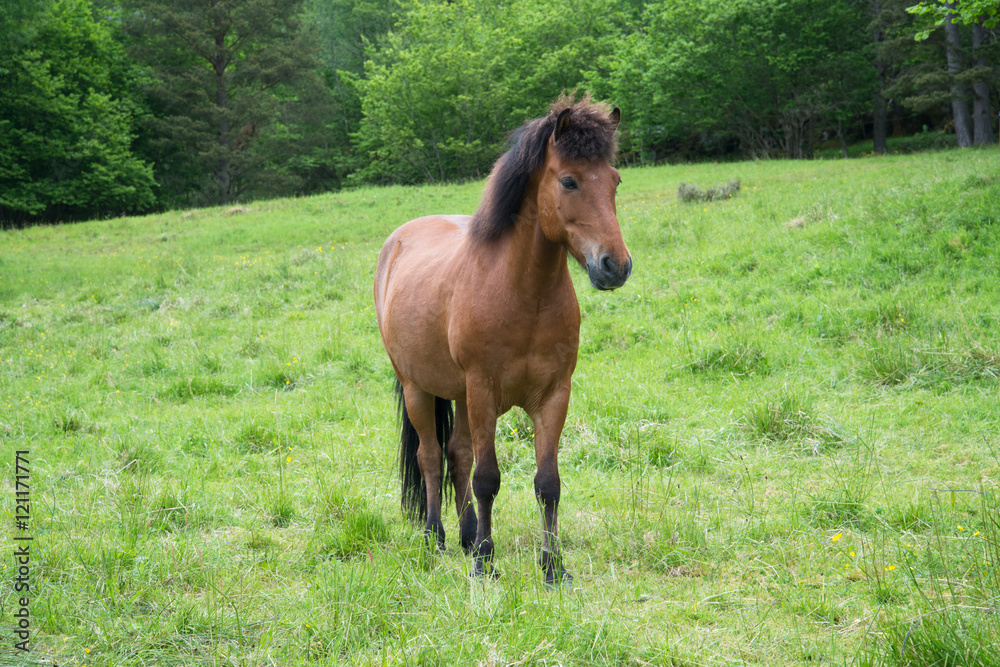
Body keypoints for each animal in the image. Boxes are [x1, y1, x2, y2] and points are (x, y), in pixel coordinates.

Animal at [373, 95, 631, 587]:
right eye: (569, 180)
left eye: (614, 180)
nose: (616, 266)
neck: (523, 295)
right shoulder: (483, 391)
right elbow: (487, 478)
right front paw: (485, 563)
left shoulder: (553, 396)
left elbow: (548, 483)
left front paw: (552, 567)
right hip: (420, 389)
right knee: (431, 457)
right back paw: (435, 537)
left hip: (457, 394)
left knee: (456, 454)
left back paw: (466, 534)